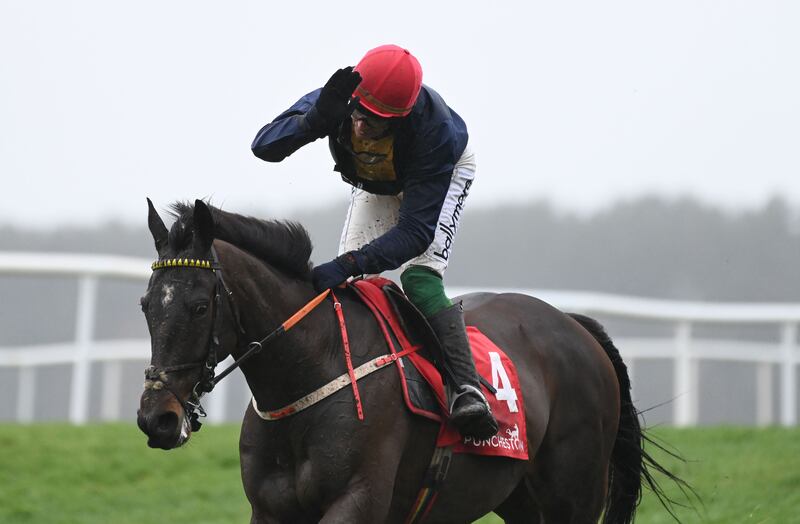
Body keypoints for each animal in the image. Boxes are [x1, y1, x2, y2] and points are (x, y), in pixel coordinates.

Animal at [136, 199, 676, 520]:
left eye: (200, 306)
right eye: (145, 304)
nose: (155, 419)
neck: (312, 373)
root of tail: (574, 324)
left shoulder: (357, 502)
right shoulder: (270, 510)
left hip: (576, 491)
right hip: (520, 497)